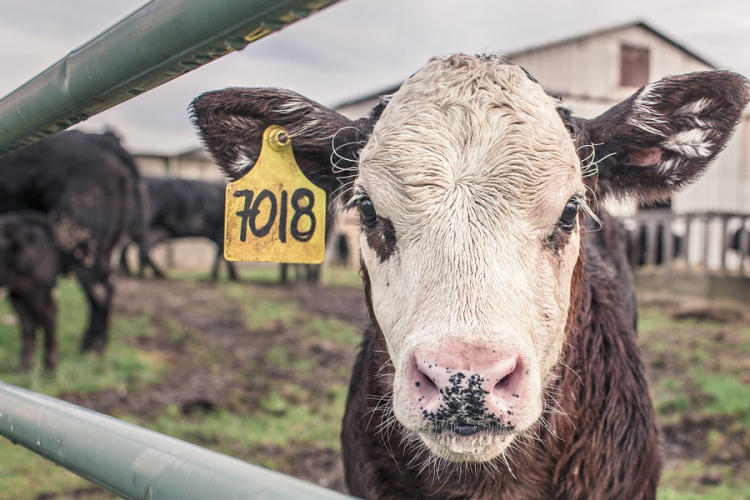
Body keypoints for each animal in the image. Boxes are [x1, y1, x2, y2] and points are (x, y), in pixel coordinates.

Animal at [0, 131, 140, 354]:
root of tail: (102, 139)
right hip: (105, 246)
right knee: (107, 286)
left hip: (78, 239)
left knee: (100, 290)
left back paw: (92, 347)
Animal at [0, 210, 58, 372]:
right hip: (18, 292)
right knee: (28, 323)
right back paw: (24, 368)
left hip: (37, 288)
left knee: (50, 315)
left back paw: (49, 368)